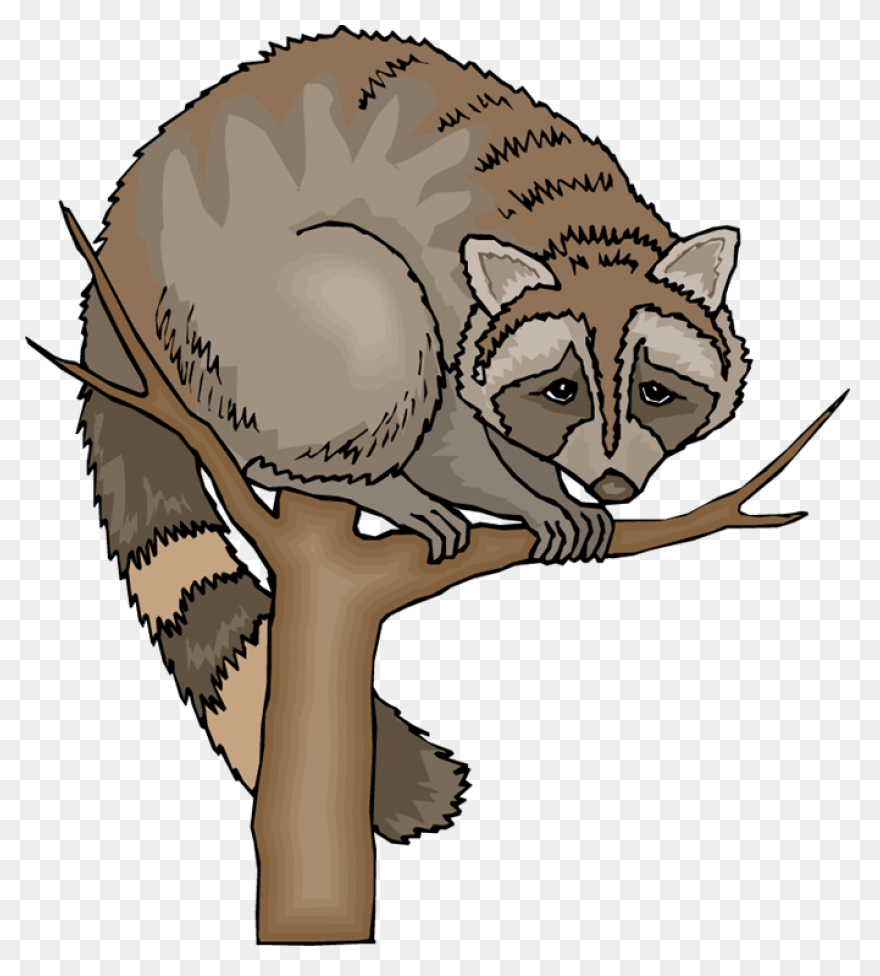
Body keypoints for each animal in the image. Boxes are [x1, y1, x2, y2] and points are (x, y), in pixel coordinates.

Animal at [78, 28, 750, 843]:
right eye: (560, 391)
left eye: (656, 393)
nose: (615, 483)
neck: (584, 240)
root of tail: (119, 250)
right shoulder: (448, 284)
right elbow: (448, 437)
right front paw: (526, 501)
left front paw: (555, 488)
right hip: (233, 318)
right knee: (369, 306)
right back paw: (343, 478)